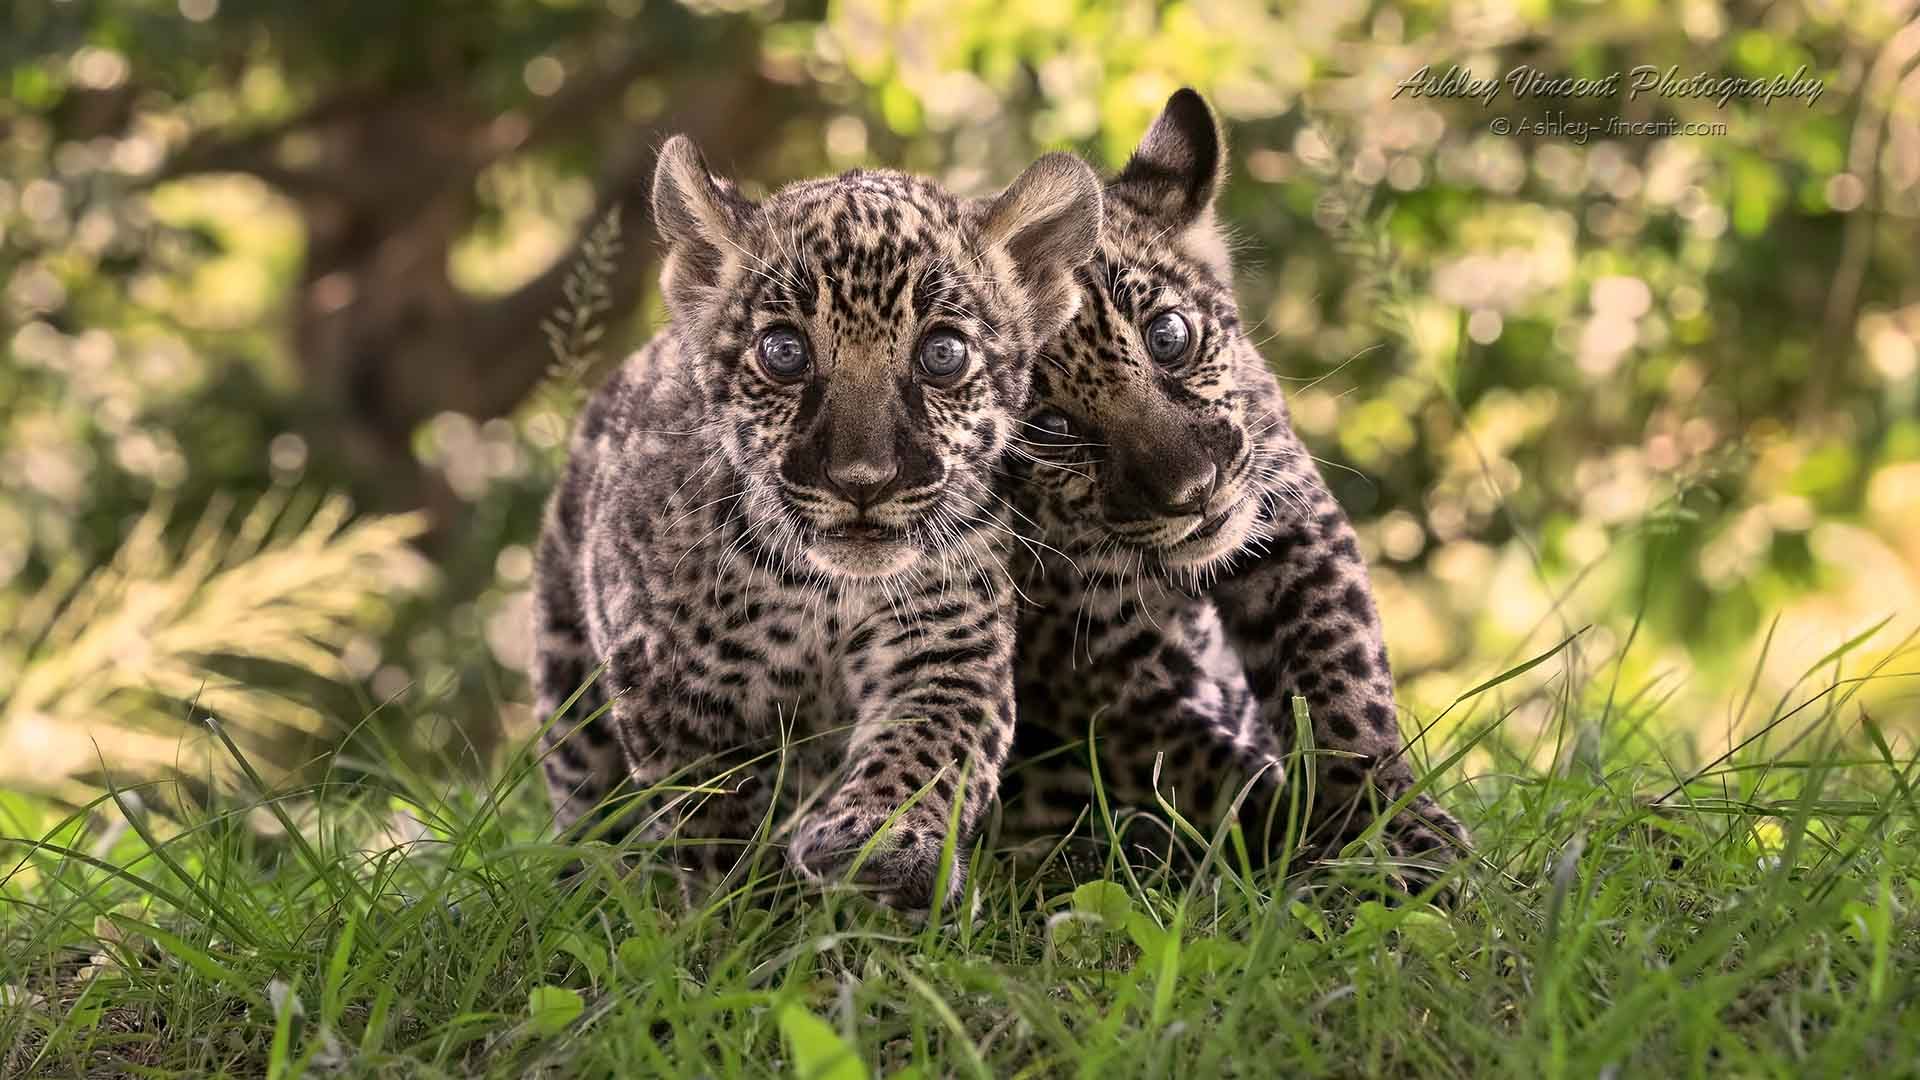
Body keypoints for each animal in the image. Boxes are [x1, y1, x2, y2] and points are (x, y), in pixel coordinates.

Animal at [530, 134, 1103, 910]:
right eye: (784, 351)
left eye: (942, 354)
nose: (863, 480)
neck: (821, 592)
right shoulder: (665, 686)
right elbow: (712, 816)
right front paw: (745, 912)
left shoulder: (946, 640)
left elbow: (930, 748)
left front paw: (883, 843)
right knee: (586, 795)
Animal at [999, 90, 1470, 896]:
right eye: (1048, 427)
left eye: (1168, 336)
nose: (1194, 491)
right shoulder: (1087, 665)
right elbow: (1208, 770)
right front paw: (1301, 853)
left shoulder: (1289, 513)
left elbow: (1340, 685)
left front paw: (1392, 831)